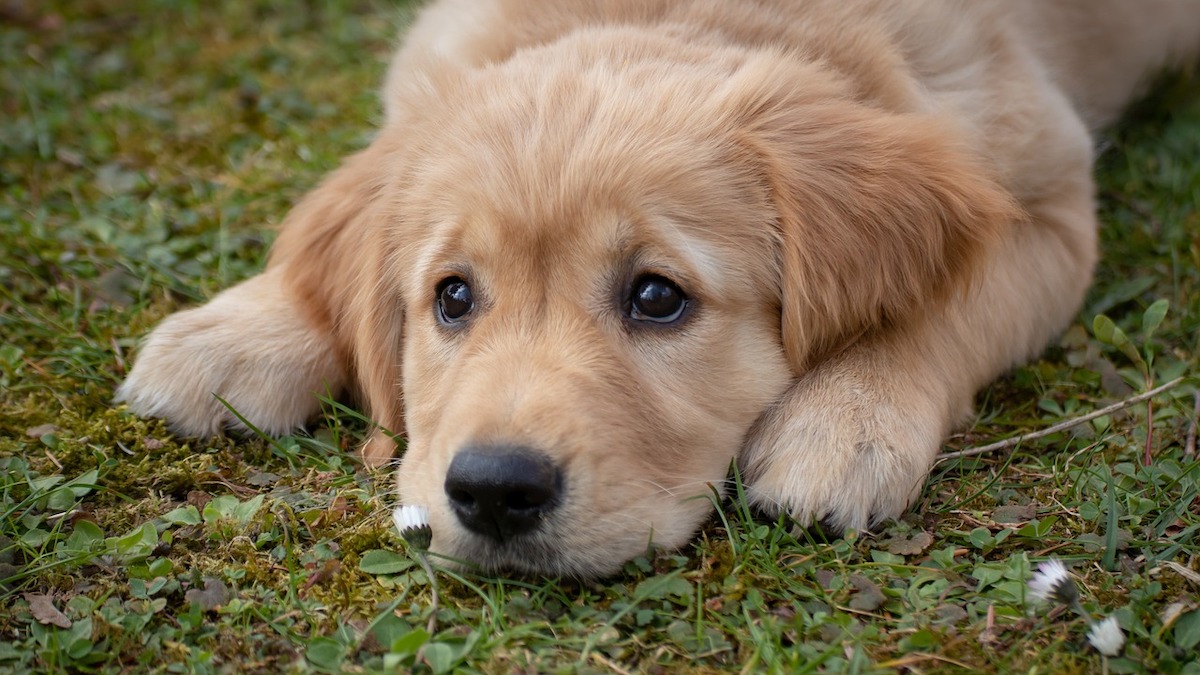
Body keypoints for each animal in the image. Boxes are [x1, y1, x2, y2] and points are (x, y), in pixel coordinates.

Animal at [114, 0, 1200, 576]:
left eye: (657, 298)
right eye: (452, 297)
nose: (494, 490)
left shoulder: (1050, 203)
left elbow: (945, 304)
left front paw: (845, 421)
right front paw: (238, 331)